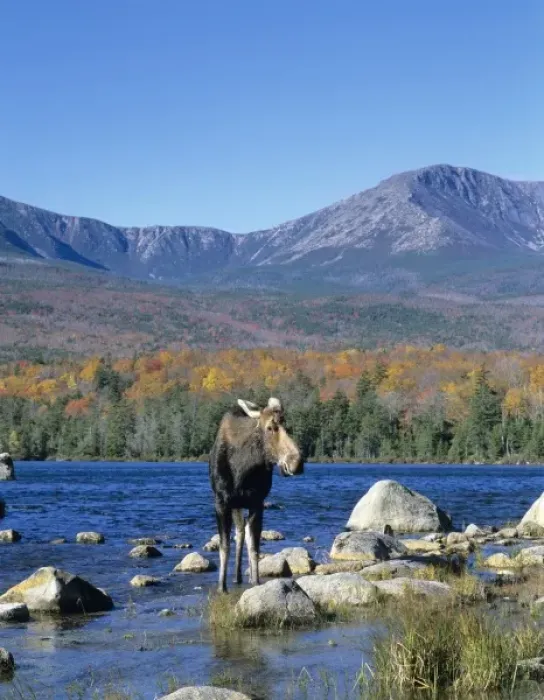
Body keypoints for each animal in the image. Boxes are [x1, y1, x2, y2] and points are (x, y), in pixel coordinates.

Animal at [209, 397, 304, 593]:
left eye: (287, 425)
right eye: (270, 427)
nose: (297, 462)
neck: (242, 468)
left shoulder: (257, 502)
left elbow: (254, 547)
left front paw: (257, 582)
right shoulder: (221, 502)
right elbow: (224, 546)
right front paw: (221, 587)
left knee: (243, 532)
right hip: (235, 505)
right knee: (239, 533)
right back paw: (235, 577)